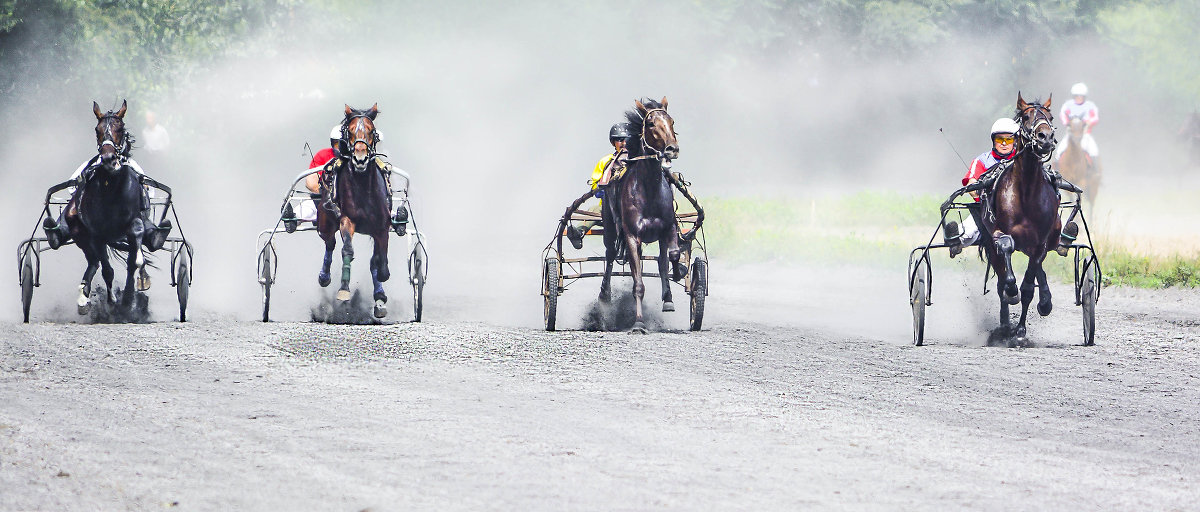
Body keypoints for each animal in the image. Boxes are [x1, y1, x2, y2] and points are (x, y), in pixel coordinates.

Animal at [314, 103, 393, 318]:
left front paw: (381, 295)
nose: (360, 159)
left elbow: (379, 262)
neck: (363, 186)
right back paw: (324, 276)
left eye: (372, 131)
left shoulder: (382, 227)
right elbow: (347, 250)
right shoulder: (347, 220)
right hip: (325, 222)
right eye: (349, 131)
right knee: (330, 244)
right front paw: (343, 290)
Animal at [600, 98, 686, 335]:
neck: (648, 189)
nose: (672, 149)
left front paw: (679, 272)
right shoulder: (631, 236)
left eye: (672, 121)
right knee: (610, 255)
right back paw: (604, 293)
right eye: (651, 124)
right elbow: (638, 283)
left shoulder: (669, 227)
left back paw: (668, 297)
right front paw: (638, 323)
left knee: (662, 261)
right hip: (610, 228)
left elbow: (673, 255)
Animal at [984, 92, 1060, 340]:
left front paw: (1020, 331)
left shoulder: (1039, 244)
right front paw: (1011, 291)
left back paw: (1044, 301)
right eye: (1026, 117)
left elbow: (1028, 286)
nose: (1045, 137)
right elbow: (1006, 253)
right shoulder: (1000, 233)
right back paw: (1004, 323)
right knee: (1000, 278)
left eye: (1050, 117)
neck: (1026, 189)